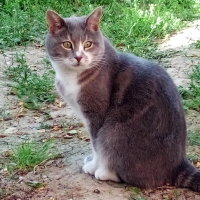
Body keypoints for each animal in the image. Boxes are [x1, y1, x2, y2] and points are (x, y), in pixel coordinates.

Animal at [45, 7, 200, 191]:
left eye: (88, 44)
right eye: (67, 44)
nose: (78, 57)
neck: (71, 76)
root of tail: (178, 164)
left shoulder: (96, 114)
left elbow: (96, 145)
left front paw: (93, 166)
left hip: (114, 130)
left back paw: (104, 172)